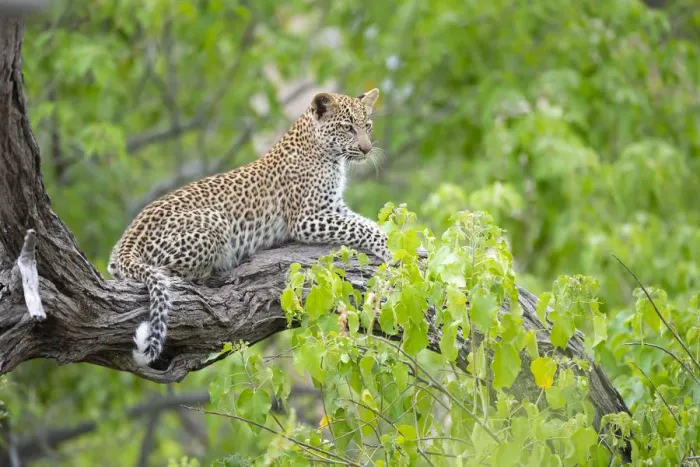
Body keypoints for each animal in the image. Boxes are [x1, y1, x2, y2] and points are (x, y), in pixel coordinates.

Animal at [108, 88, 391, 367]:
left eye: (367, 126)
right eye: (347, 127)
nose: (366, 149)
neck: (328, 155)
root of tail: (128, 240)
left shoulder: (333, 207)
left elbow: (365, 222)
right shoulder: (307, 218)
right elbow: (362, 228)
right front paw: (388, 252)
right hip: (214, 221)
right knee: (173, 272)